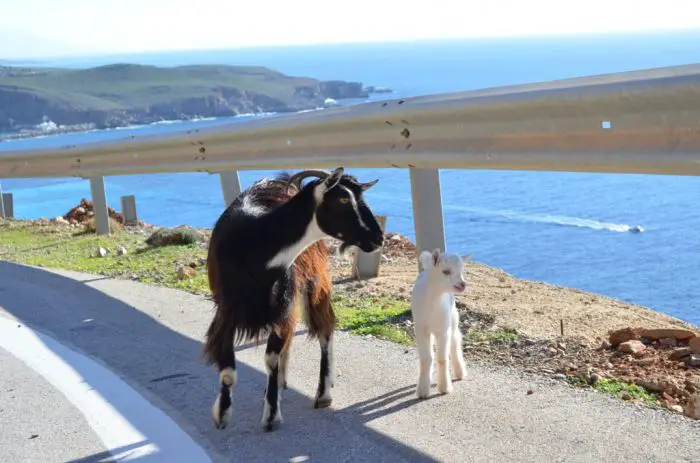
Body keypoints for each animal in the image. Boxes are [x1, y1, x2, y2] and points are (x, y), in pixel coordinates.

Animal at [202, 169, 386, 434]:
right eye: (343, 199)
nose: (378, 238)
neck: (256, 246)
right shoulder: (227, 310)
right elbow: (228, 370)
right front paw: (222, 414)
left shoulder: (281, 307)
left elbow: (271, 359)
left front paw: (271, 415)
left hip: (316, 279)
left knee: (325, 327)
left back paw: (322, 393)